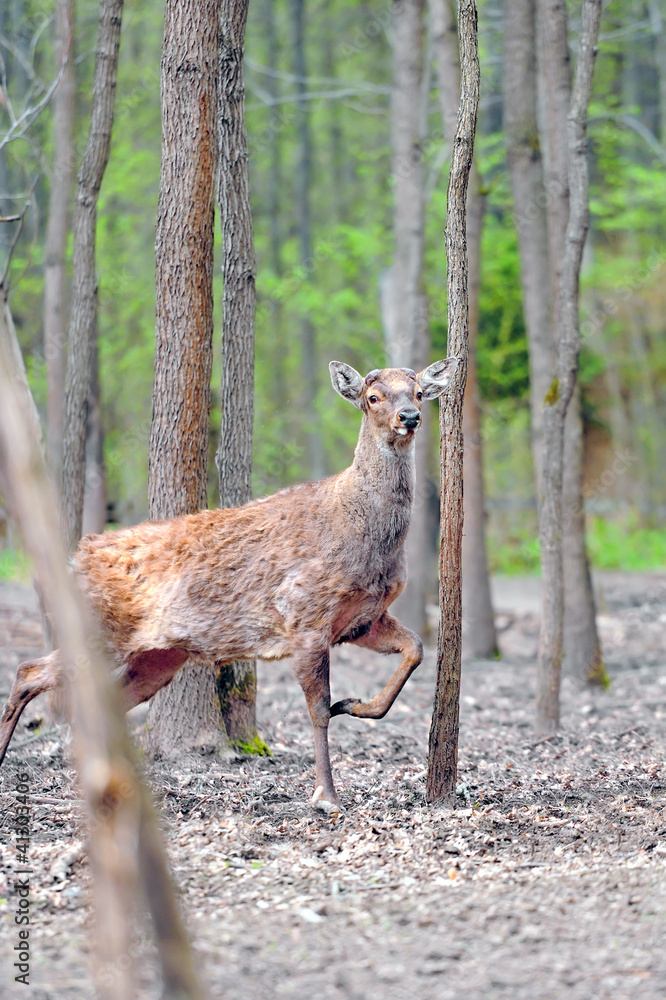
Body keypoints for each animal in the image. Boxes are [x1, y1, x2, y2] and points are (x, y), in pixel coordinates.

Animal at [0, 356, 456, 808]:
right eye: (373, 396)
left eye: (418, 392)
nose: (409, 416)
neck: (364, 534)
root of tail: (77, 556)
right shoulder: (304, 613)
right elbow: (319, 710)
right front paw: (325, 794)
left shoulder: (361, 619)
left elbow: (414, 649)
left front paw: (355, 704)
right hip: (101, 629)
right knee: (28, 671)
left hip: (158, 656)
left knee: (101, 698)